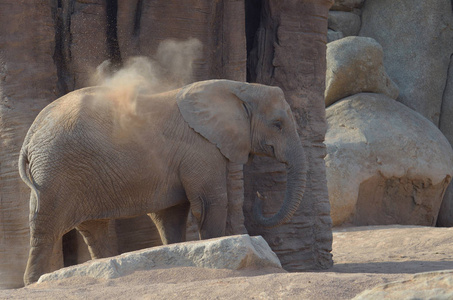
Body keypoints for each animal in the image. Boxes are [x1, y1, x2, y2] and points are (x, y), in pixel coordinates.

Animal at [18, 79, 308, 284]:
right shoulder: (200, 147)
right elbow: (210, 203)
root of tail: (32, 133)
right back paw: (33, 282)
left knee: (92, 228)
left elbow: (171, 215)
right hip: (55, 169)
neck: (237, 87)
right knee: (45, 227)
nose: (260, 196)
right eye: (278, 124)